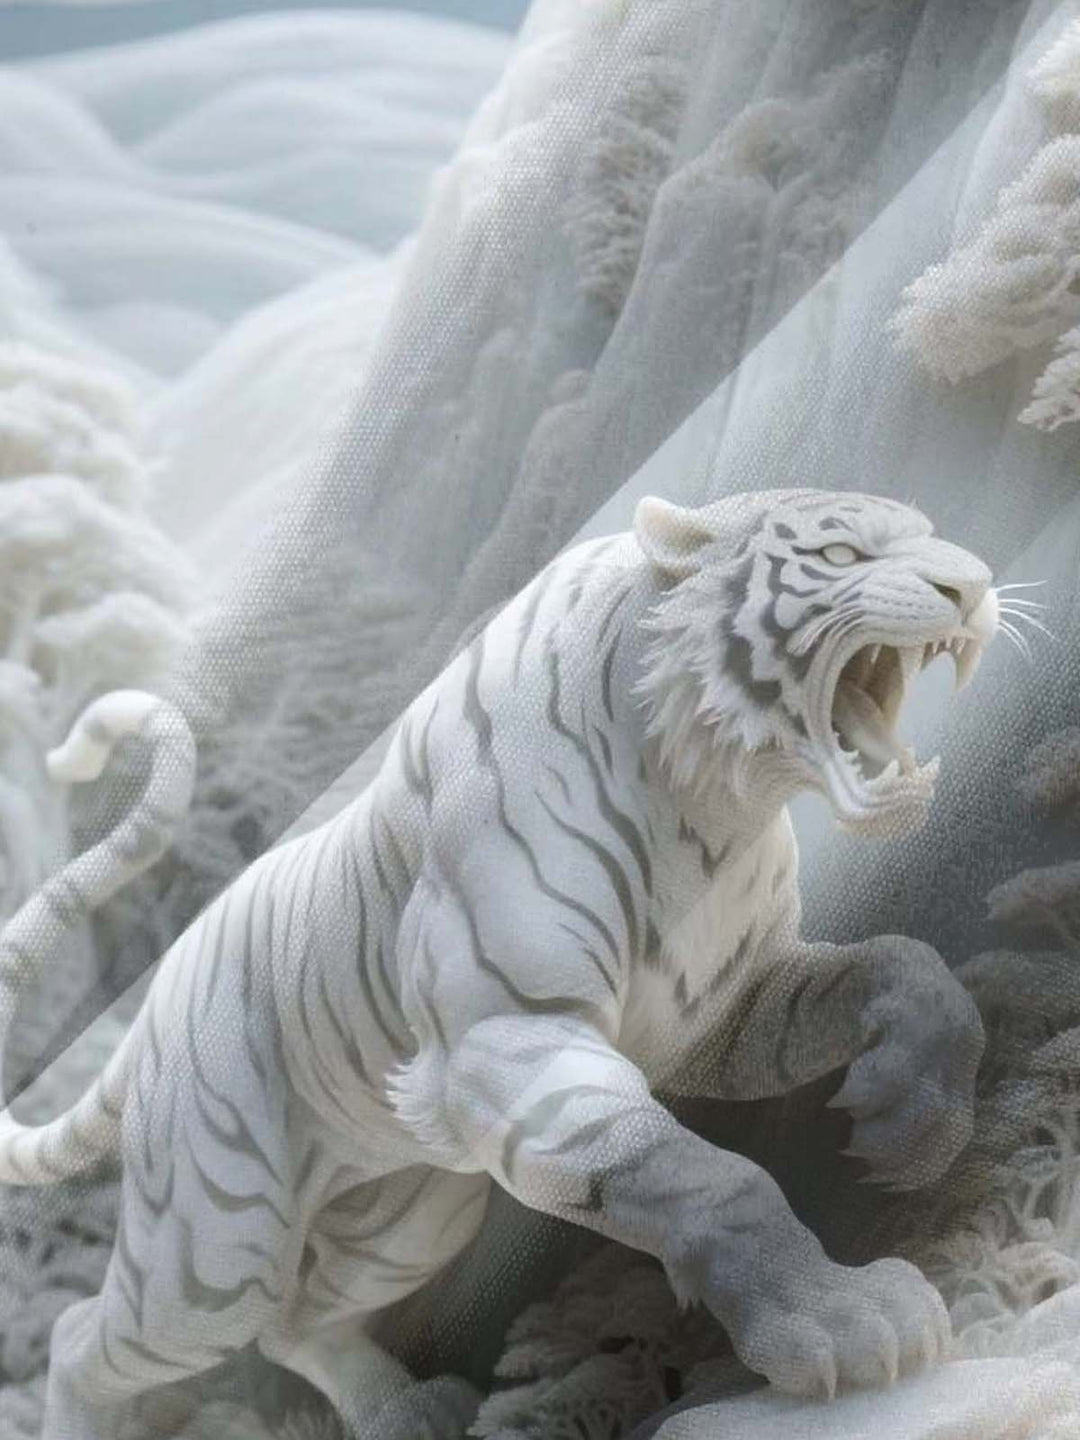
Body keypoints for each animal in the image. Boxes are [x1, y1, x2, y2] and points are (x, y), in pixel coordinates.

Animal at [0, 488, 995, 1440]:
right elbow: (713, 1179)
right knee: (85, 1335)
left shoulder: (723, 1010)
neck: (706, 800)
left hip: (407, 1212)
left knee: (298, 1321)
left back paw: (404, 1412)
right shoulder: (511, 1035)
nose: (974, 584)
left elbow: (909, 968)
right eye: (839, 553)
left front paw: (915, 1128)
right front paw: (844, 1320)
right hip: (216, 1250)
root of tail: (153, 1005)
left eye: (931, 534)